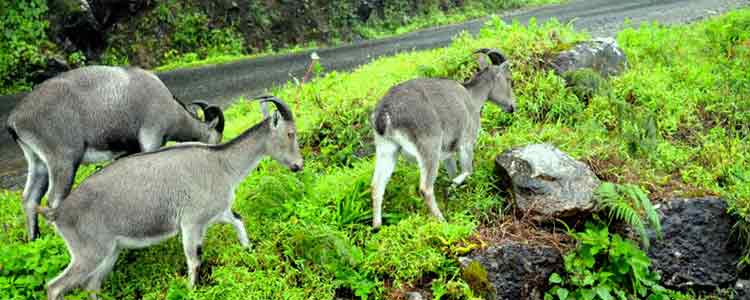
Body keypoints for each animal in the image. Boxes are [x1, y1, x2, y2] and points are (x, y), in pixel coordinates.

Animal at [38, 96, 302, 300]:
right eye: (290, 133)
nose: (299, 165)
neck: (222, 164)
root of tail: (57, 214)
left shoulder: (218, 213)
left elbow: (239, 221)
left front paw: (249, 251)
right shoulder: (191, 223)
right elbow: (194, 260)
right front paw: (191, 291)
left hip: (109, 253)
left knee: (91, 286)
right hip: (88, 253)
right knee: (55, 287)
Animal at [370, 49, 516, 229]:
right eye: (509, 79)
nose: (512, 107)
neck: (471, 97)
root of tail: (384, 114)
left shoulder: (447, 153)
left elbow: (453, 172)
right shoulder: (466, 143)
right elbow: (467, 170)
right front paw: (452, 187)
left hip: (386, 149)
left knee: (377, 185)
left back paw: (377, 227)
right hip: (428, 148)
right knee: (425, 188)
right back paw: (442, 220)